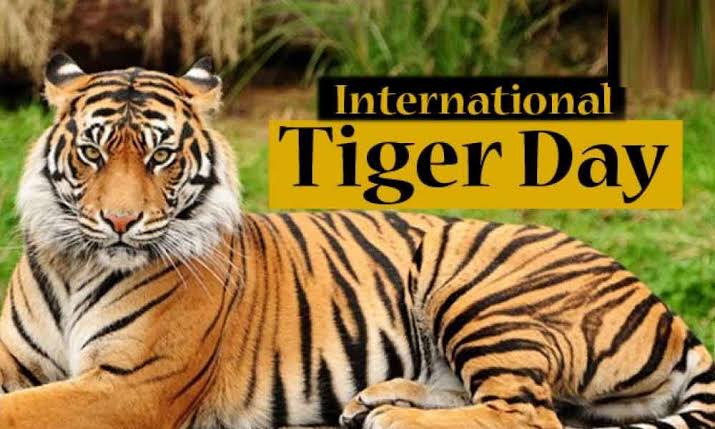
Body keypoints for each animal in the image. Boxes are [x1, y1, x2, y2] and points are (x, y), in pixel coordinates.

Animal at [0, 52, 712, 429]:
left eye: (162, 157)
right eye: (93, 153)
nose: (120, 222)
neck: (75, 264)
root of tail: (663, 307)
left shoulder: (132, 385)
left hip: (479, 290)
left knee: (527, 414)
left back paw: (395, 417)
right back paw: (379, 398)